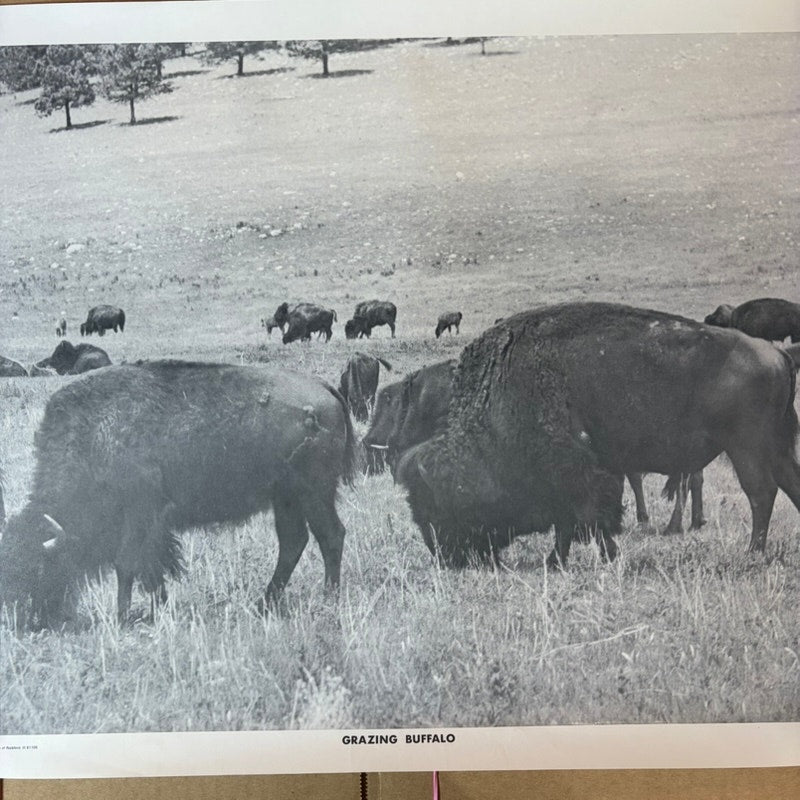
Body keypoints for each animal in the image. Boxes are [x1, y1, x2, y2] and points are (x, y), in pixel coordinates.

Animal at [0, 361, 355, 628]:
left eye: (36, 568)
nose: (17, 619)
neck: (94, 436)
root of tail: (323, 387)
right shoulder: (153, 528)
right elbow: (151, 569)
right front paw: (158, 609)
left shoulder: (141, 513)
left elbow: (126, 563)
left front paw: (122, 617)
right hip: (286, 499)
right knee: (293, 542)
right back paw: (262, 604)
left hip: (313, 492)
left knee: (330, 535)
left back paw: (328, 599)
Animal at [397, 302, 800, 569]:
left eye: (439, 504)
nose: (447, 558)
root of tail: (777, 356)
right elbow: (575, 520)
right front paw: (567, 559)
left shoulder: (575, 471)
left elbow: (584, 518)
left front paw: (583, 557)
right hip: (775, 448)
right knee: (789, 485)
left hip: (747, 448)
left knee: (761, 493)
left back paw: (752, 553)